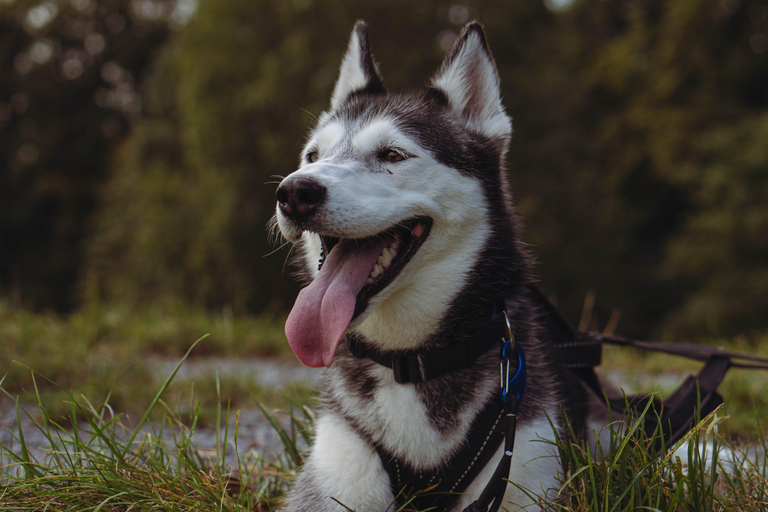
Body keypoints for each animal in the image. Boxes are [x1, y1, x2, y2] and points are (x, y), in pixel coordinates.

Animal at [276, 21, 592, 512]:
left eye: (392, 155)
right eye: (313, 156)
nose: (294, 192)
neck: (410, 361)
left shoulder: (525, 468)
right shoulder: (333, 481)